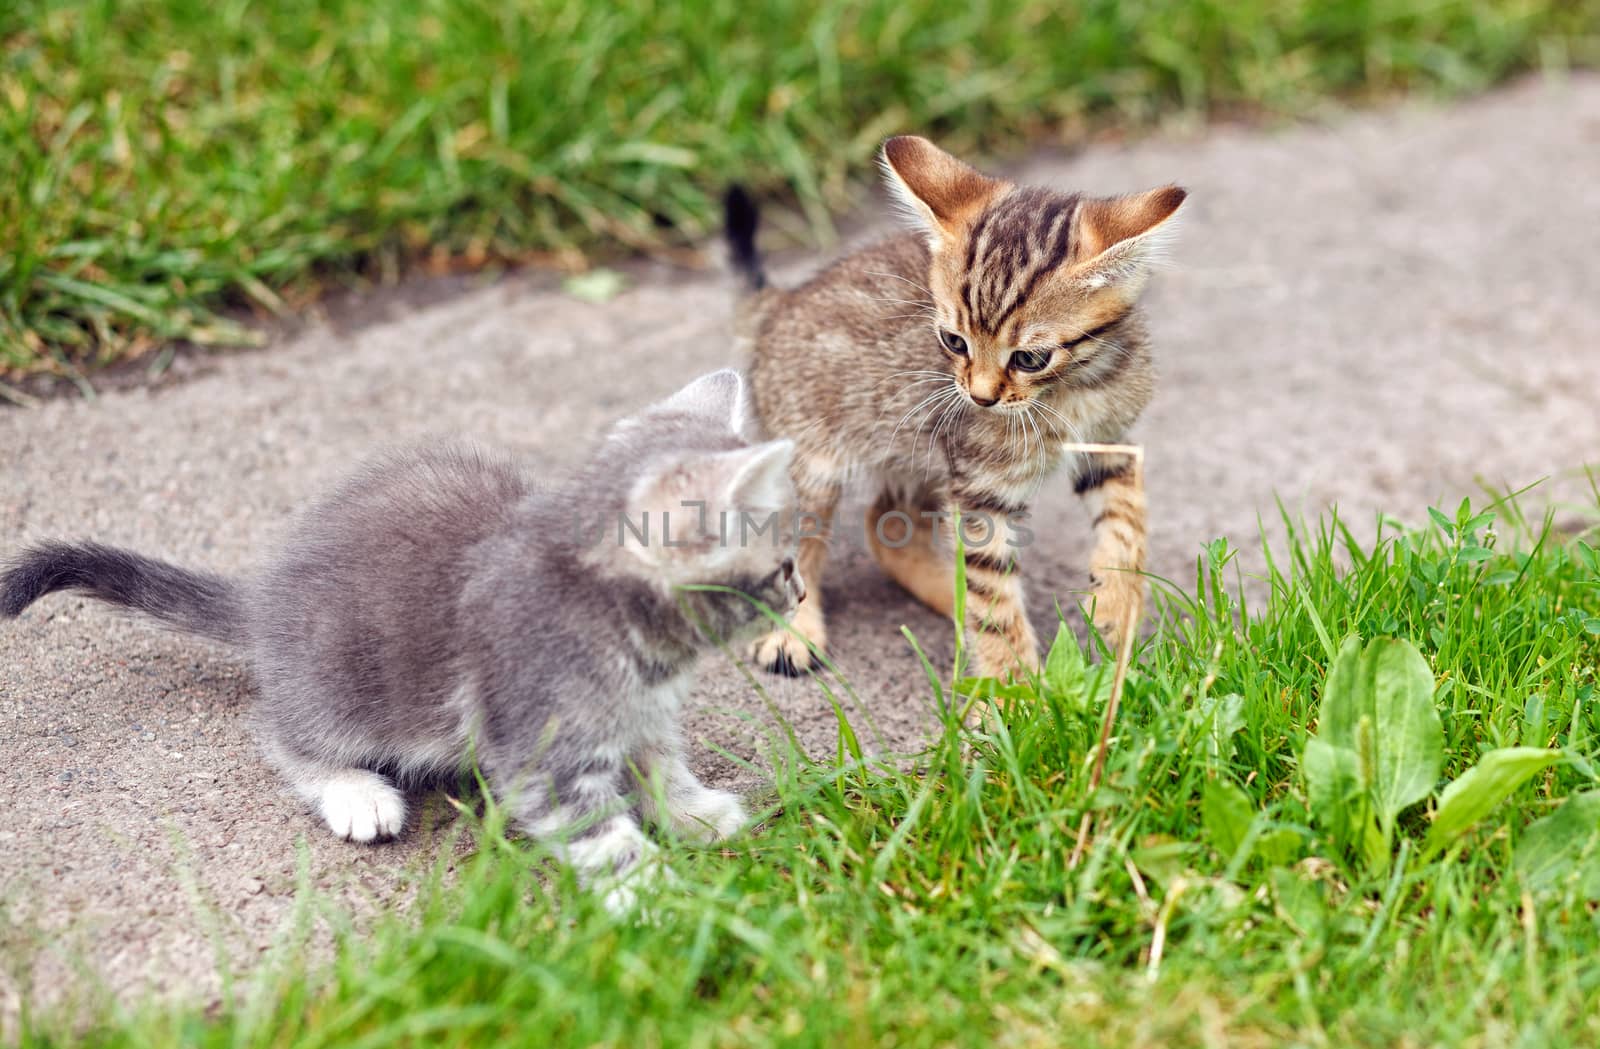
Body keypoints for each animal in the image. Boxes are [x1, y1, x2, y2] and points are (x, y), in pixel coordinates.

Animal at [0, 372, 800, 914]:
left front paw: (694, 813)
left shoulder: (641, 711)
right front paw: (660, 897)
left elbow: (660, 761)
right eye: (784, 565)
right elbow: (599, 833)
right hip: (340, 680)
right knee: (280, 730)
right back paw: (355, 792)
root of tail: (266, 599)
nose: (798, 596)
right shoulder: (539, 745)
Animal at [723, 137, 1177, 681]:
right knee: (794, 546)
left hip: (920, 455)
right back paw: (790, 632)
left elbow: (1127, 518)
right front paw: (1016, 690)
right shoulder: (982, 491)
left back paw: (953, 600)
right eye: (953, 341)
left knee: (889, 525)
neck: (1070, 389)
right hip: (816, 463)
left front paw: (1118, 603)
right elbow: (995, 598)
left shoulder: (1109, 441)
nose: (980, 397)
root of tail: (783, 303)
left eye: (1029, 357)